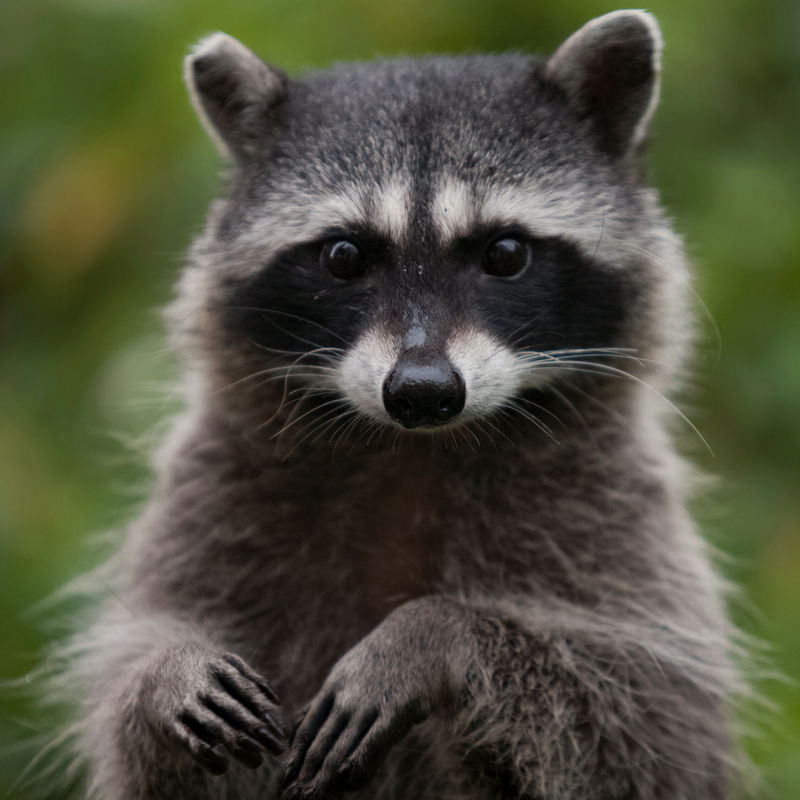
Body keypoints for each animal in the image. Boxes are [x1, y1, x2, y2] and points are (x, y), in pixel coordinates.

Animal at [60, 10, 743, 800]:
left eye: (505, 253)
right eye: (344, 257)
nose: (421, 392)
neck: (413, 449)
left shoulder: (618, 517)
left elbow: (640, 727)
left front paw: (434, 635)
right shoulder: (215, 494)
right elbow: (136, 701)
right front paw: (164, 673)